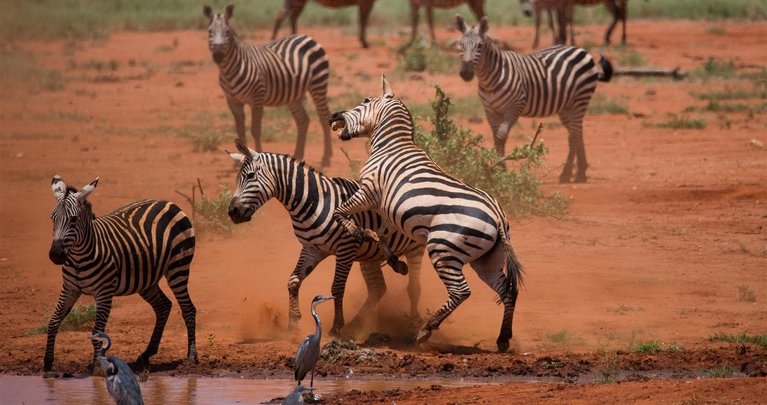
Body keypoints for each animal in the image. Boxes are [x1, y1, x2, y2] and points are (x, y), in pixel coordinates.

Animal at [44, 175, 198, 370]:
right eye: (52, 218)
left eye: (73, 220)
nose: (55, 255)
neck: (80, 256)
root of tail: (168, 203)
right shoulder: (70, 288)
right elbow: (53, 322)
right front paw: (47, 363)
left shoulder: (104, 293)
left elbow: (97, 333)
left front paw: (97, 366)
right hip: (146, 280)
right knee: (163, 306)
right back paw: (146, 354)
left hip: (178, 267)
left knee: (188, 309)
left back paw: (192, 356)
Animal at [206, 4, 334, 166]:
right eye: (209, 31)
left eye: (227, 31)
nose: (218, 55)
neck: (230, 70)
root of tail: (306, 36)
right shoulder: (233, 101)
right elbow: (240, 130)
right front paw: (238, 162)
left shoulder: (257, 98)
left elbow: (255, 129)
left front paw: (257, 156)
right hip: (293, 94)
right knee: (303, 120)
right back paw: (298, 155)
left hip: (318, 83)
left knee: (323, 117)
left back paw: (326, 158)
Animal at [226, 139, 426, 334]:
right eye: (237, 178)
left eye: (251, 176)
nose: (232, 212)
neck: (313, 203)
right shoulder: (311, 248)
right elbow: (293, 281)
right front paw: (293, 323)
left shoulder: (346, 248)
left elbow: (337, 287)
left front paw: (336, 326)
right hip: (370, 255)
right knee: (378, 288)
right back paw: (356, 325)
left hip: (415, 248)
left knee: (414, 288)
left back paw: (411, 325)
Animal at [328, 75, 524, 350]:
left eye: (365, 101)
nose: (333, 116)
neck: (390, 146)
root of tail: (497, 216)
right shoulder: (385, 206)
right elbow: (382, 233)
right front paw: (395, 262)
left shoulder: (369, 191)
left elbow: (341, 212)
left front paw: (356, 232)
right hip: (486, 259)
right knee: (506, 290)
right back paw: (503, 339)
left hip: (444, 249)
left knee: (461, 291)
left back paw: (426, 329)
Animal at [456, 14, 612, 181]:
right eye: (460, 45)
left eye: (479, 46)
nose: (465, 73)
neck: (490, 80)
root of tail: (580, 49)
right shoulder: (490, 110)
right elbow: (496, 137)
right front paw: (498, 170)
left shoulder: (516, 105)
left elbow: (501, 135)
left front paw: (501, 170)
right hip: (567, 106)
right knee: (576, 131)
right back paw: (581, 171)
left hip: (581, 98)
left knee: (574, 135)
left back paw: (567, 174)